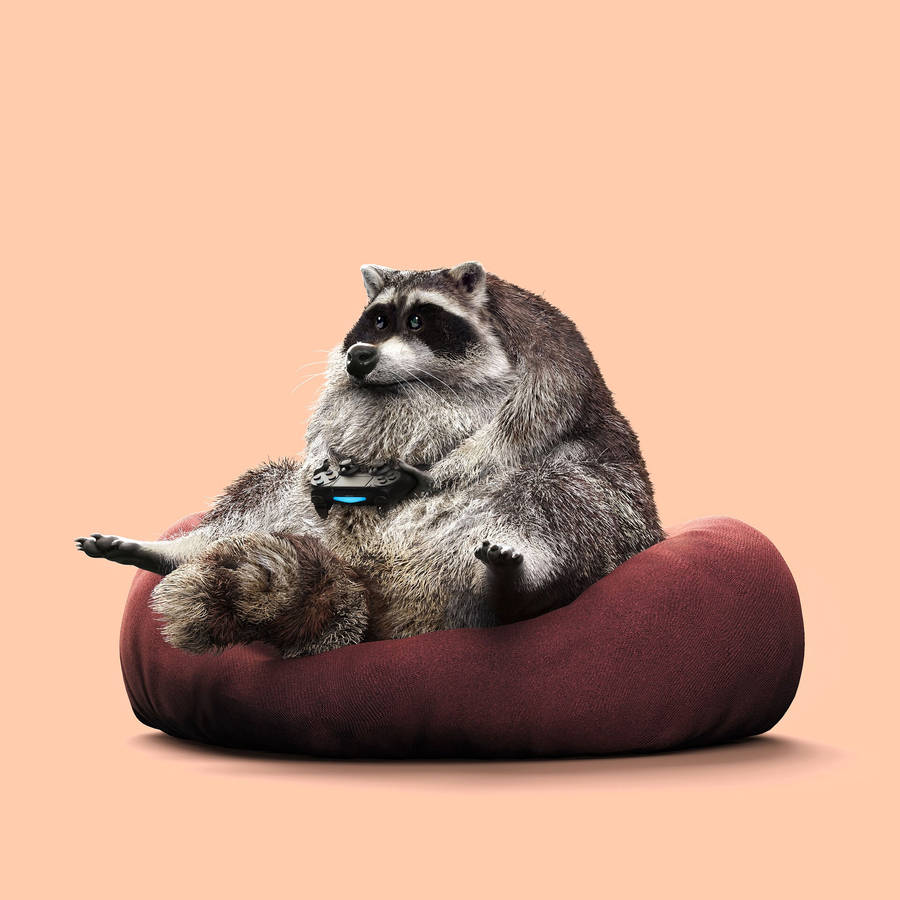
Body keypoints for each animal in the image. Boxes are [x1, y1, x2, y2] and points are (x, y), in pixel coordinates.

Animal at [76, 262, 664, 657]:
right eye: (377, 321)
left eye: (420, 320)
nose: (360, 357)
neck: (414, 387)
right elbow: (324, 428)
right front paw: (327, 454)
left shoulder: (552, 352)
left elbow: (522, 428)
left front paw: (436, 470)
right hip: (299, 520)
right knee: (263, 491)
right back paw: (174, 551)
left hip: (601, 510)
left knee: (562, 495)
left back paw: (515, 590)